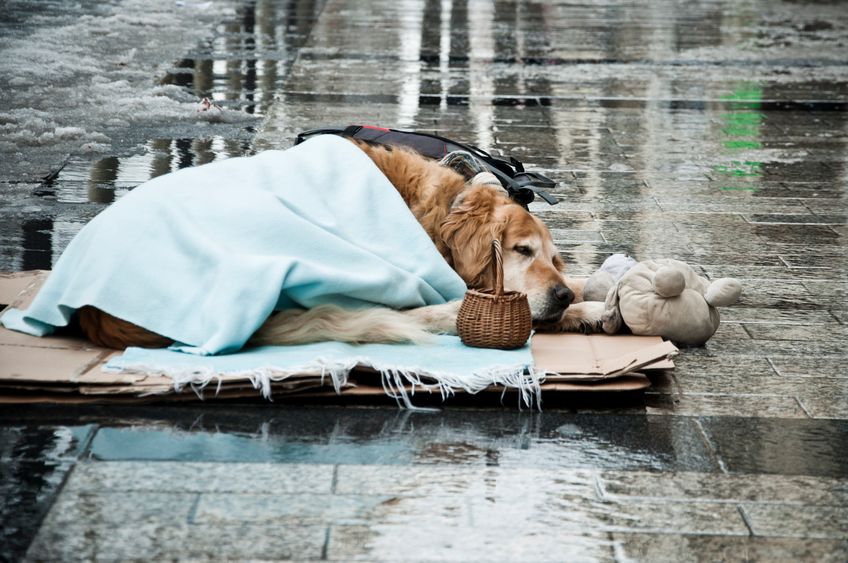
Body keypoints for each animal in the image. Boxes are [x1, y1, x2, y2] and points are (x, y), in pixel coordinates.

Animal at [76, 138, 600, 348]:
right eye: (521, 251)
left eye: (553, 257)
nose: (560, 295)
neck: (437, 212)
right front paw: (582, 306)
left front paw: (587, 294)